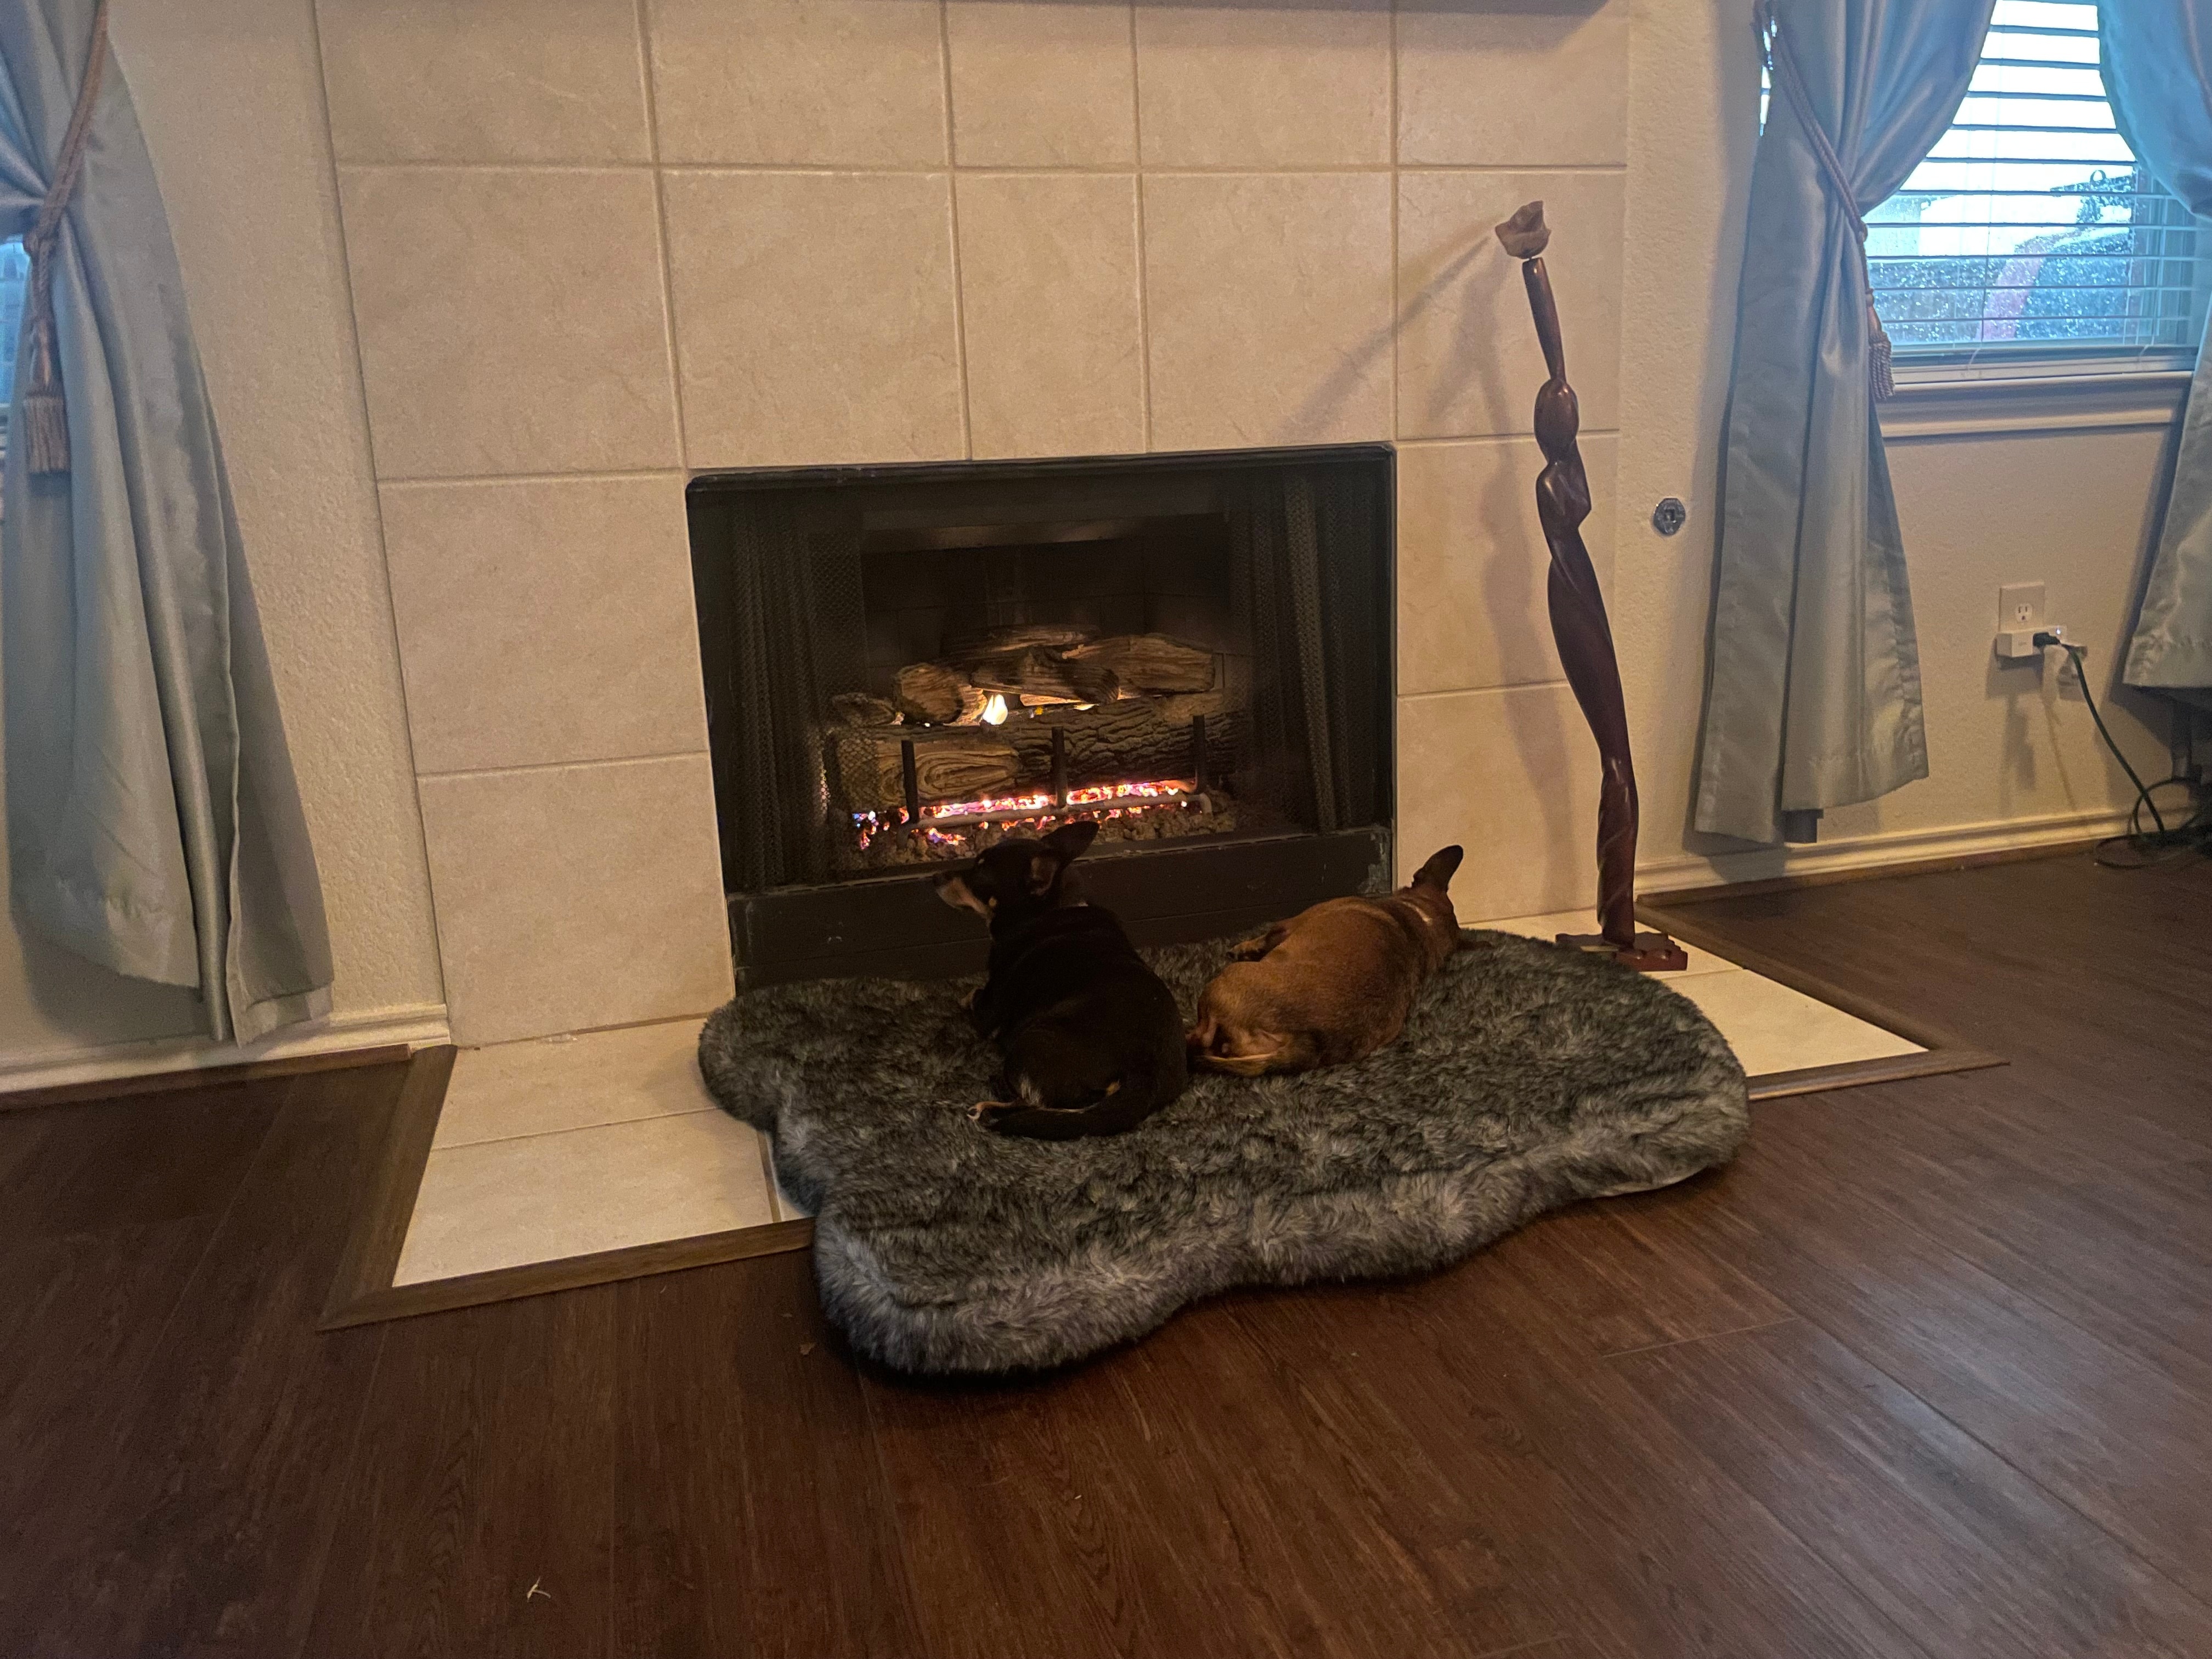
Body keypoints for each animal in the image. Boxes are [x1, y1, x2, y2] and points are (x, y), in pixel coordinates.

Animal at [933, 822, 1194, 1141]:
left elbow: (973, 994)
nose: (934, 877)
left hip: (1032, 1038)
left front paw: (962, 997)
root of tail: (1146, 1074)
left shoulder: (990, 1009)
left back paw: (989, 1104)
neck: (1050, 909)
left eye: (979, 873)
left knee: (1034, 1102)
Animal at [1186, 845, 1460, 1079]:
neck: (1417, 919)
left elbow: (1264, 937)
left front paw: (1244, 947)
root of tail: (1306, 1041)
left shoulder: (1287, 926)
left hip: (1224, 984)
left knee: (1203, 1037)